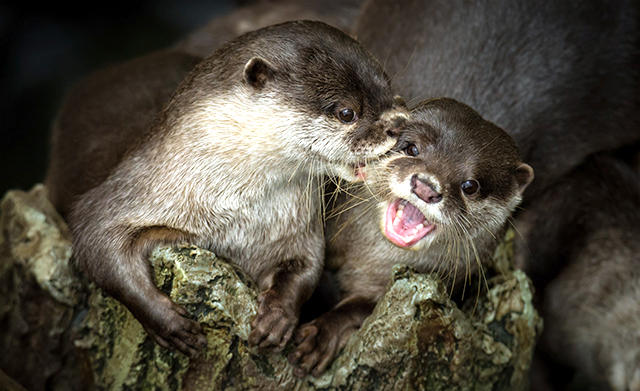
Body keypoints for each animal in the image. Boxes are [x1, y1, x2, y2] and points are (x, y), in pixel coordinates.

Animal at [45, 22, 408, 358]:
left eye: (392, 94)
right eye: (346, 112)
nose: (398, 125)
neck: (235, 213)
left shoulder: (298, 228)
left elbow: (306, 265)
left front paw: (278, 315)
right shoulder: (118, 195)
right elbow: (98, 244)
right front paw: (168, 322)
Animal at [290, 97, 536, 376]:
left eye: (470, 186)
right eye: (412, 149)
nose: (426, 187)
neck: (365, 259)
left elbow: (360, 309)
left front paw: (320, 337)